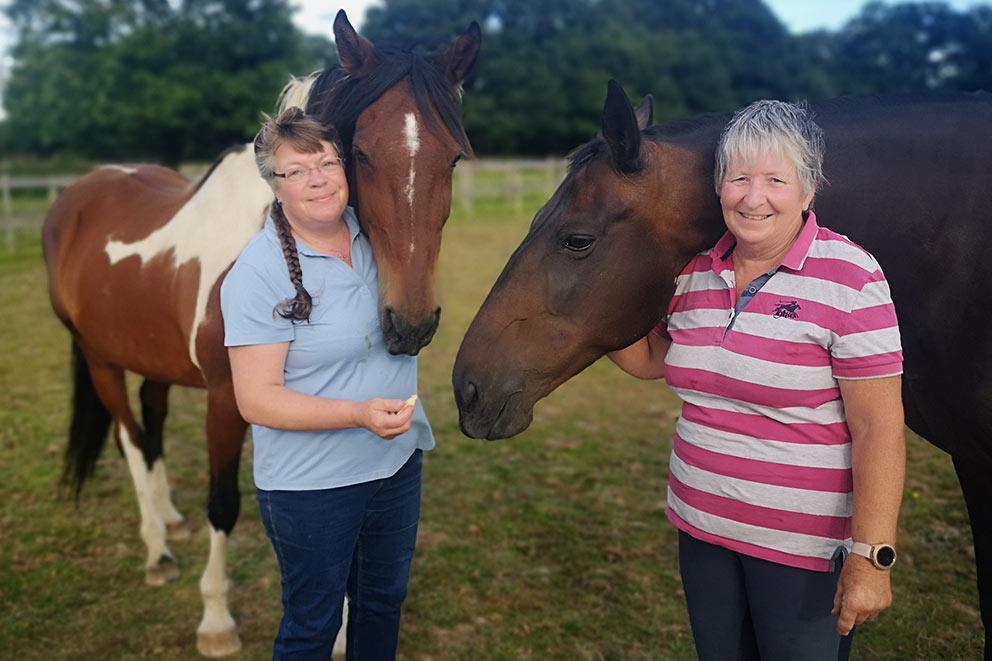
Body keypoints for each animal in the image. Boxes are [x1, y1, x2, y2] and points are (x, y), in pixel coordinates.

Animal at [41, 10, 480, 656]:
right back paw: (157, 551)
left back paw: (170, 520)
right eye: (360, 154)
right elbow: (224, 505)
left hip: (151, 359)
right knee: (131, 441)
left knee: (152, 426)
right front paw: (216, 622)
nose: (412, 323)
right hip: (100, 360)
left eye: (451, 160)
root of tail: (76, 194)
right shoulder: (228, 401)